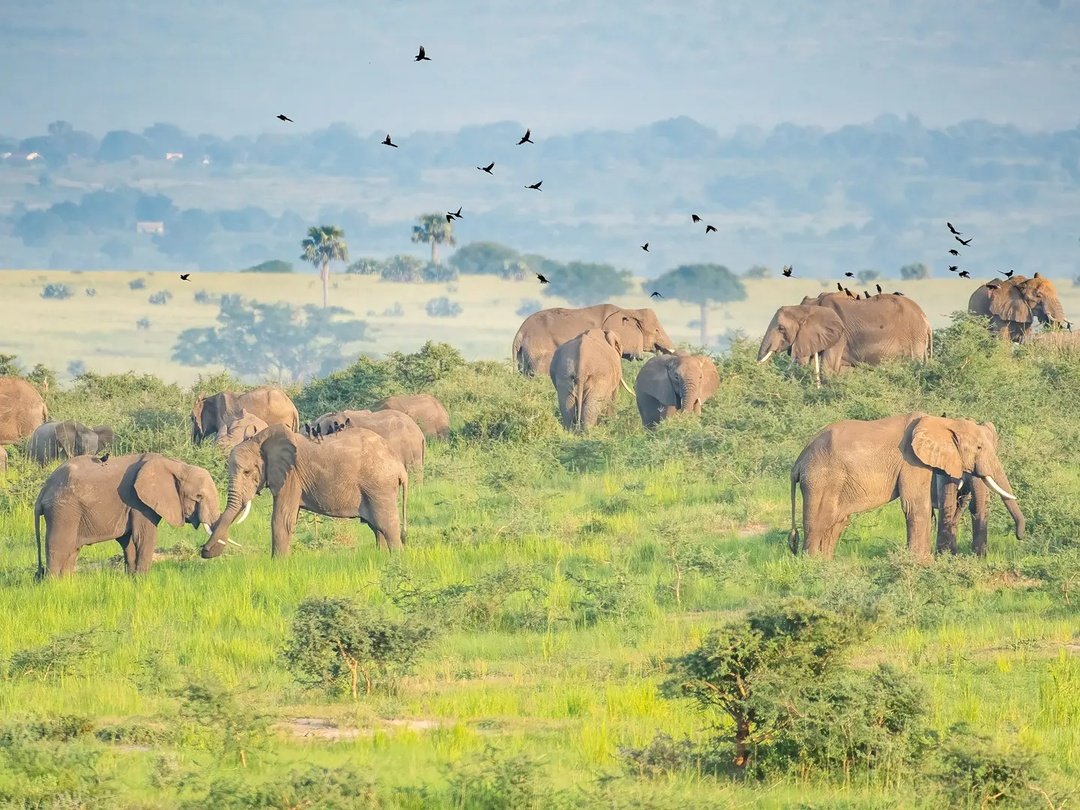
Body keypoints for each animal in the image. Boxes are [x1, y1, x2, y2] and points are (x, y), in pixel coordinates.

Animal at [33, 453, 222, 576]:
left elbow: (129, 540)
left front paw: (133, 580)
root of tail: (43, 490)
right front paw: (143, 581)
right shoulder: (139, 503)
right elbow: (143, 537)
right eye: (198, 496)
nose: (204, 550)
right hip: (63, 510)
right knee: (59, 546)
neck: (175, 464)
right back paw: (53, 585)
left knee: (72, 550)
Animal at [202, 424, 408, 558]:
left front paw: (278, 564)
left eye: (247, 472)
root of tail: (399, 464)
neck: (261, 439)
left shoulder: (291, 476)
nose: (204, 551)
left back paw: (396, 559)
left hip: (379, 486)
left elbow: (281, 519)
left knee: (386, 523)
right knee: (377, 527)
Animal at [788, 413, 1020, 561]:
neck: (943, 422)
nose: (1020, 536)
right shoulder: (912, 460)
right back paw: (812, 564)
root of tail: (798, 461)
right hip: (820, 478)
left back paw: (826, 563)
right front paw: (922, 562)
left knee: (837, 521)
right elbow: (916, 505)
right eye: (979, 447)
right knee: (820, 519)